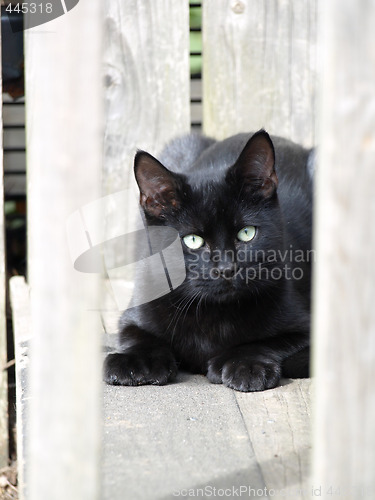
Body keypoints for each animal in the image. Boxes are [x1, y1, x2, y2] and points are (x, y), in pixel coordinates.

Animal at [104, 129, 312, 390]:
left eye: (246, 233)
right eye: (193, 240)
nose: (226, 268)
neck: (213, 313)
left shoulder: (306, 325)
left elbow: (267, 341)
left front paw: (245, 365)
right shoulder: (134, 312)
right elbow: (138, 335)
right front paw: (134, 361)